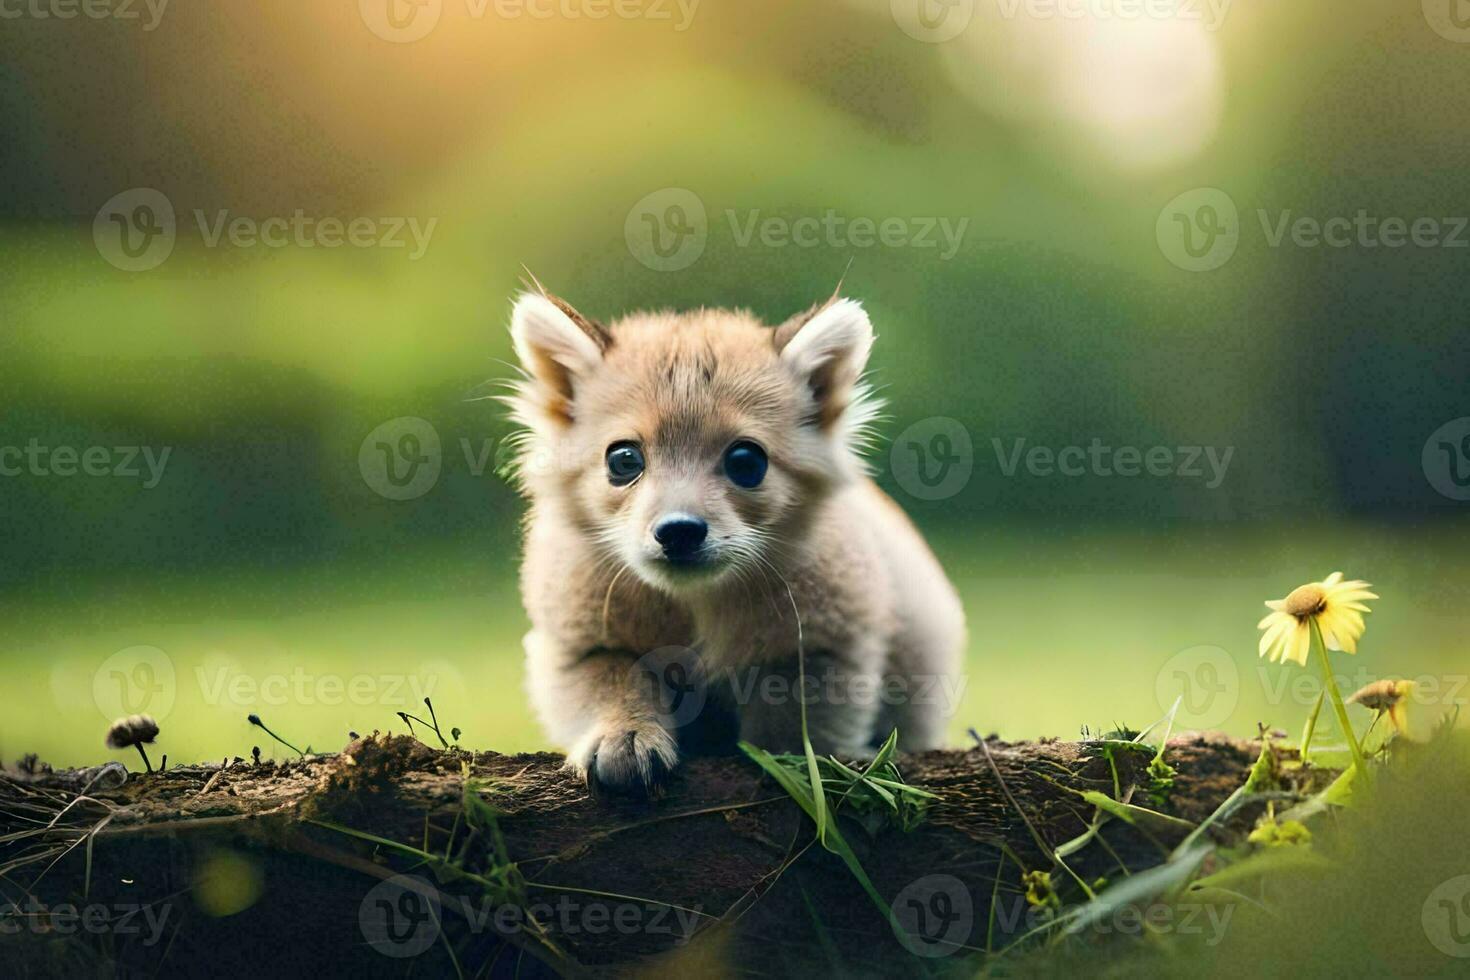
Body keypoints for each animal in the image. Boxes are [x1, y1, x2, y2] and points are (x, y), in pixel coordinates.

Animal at [505, 287, 964, 793]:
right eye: (623, 459)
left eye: (746, 460)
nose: (679, 530)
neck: (695, 604)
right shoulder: (578, 644)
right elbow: (613, 684)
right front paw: (623, 737)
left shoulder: (823, 647)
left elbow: (792, 724)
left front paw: (794, 772)